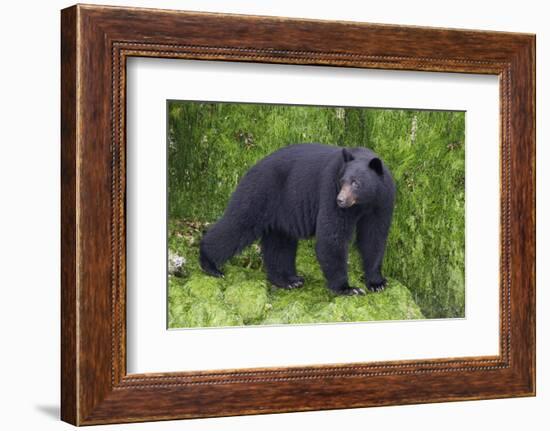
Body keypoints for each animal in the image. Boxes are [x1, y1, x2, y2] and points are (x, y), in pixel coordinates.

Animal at [201, 143, 394, 296]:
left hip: (280, 211)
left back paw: (288, 280)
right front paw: (347, 288)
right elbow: (332, 236)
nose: (340, 200)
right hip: (259, 192)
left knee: (280, 244)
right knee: (237, 225)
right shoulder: (329, 191)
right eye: (342, 180)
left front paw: (377, 283)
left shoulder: (382, 202)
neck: (363, 203)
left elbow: (374, 237)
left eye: (356, 183)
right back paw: (210, 264)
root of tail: (253, 167)